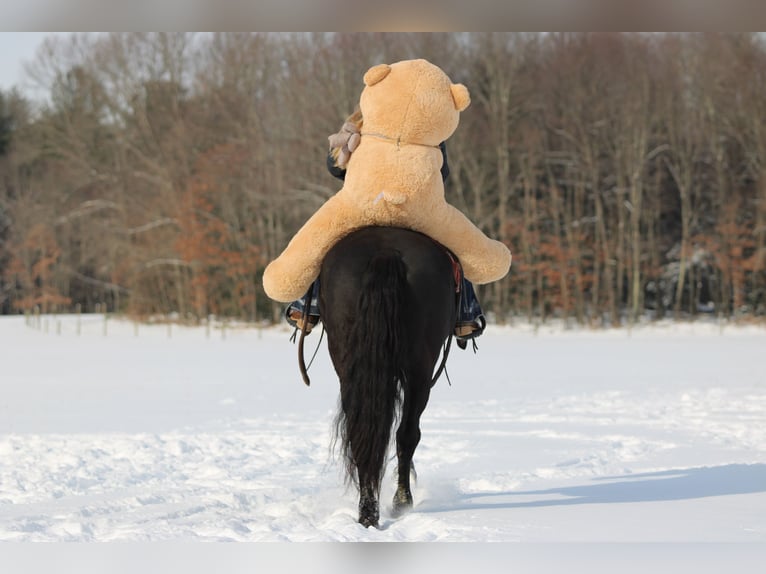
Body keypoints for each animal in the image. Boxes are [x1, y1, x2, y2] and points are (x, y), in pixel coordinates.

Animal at [318, 226, 459, 528]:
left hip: (348, 367)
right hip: (421, 369)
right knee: (407, 434)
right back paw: (400, 502)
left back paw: (368, 512)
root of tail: (385, 252)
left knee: (361, 433)